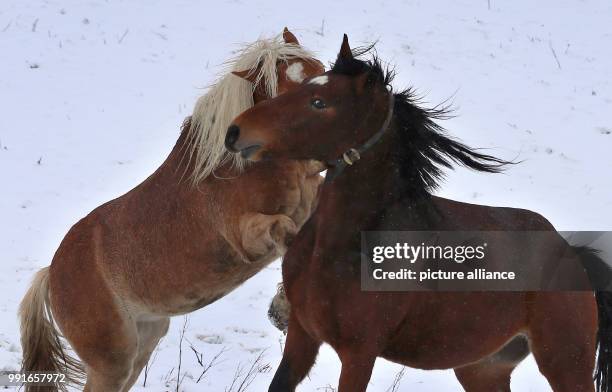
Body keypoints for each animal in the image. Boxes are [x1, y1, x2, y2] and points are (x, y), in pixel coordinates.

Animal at [19, 28, 326, 392]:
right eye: (286, 92)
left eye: (321, 68)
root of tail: (51, 273)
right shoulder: (246, 237)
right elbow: (286, 233)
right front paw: (284, 311)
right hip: (112, 360)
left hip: (143, 341)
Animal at [226, 34, 612, 392]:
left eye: (319, 103)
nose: (235, 132)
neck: (342, 246)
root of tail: (573, 254)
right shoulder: (302, 336)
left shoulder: (359, 353)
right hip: (484, 368)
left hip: (565, 362)